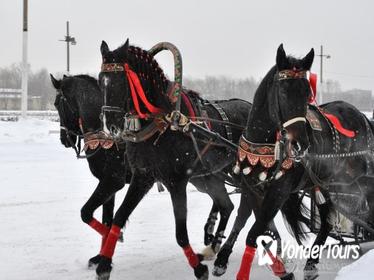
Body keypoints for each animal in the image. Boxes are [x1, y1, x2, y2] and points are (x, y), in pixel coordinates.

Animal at [49, 74, 131, 266]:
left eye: (57, 104)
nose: (64, 139)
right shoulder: (107, 184)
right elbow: (106, 219)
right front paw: (101, 256)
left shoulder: (112, 182)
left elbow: (86, 213)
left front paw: (116, 238)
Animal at [235, 44, 374, 280]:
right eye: (283, 92)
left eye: (307, 94)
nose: (301, 143)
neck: (265, 144)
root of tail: (363, 117)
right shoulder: (252, 187)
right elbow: (258, 231)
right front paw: (281, 269)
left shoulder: (279, 191)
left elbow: (255, 233)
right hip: (327, 183)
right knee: (327, 221)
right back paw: (311, 263)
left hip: (356, 180)